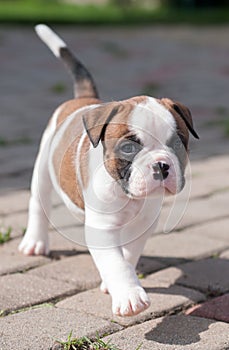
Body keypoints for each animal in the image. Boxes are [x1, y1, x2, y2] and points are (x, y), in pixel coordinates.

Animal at [19, 25, 199, 318]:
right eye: (128, 147)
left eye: (177, 143)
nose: (161, 164)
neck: (127, 195)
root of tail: (84, 98)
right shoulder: (102, 227)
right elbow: (115, 262)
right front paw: (129, 295)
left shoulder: (142, 226)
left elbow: (127, 254)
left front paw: (114, 282)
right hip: (43, 168)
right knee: (39, 202)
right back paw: (35, 241)